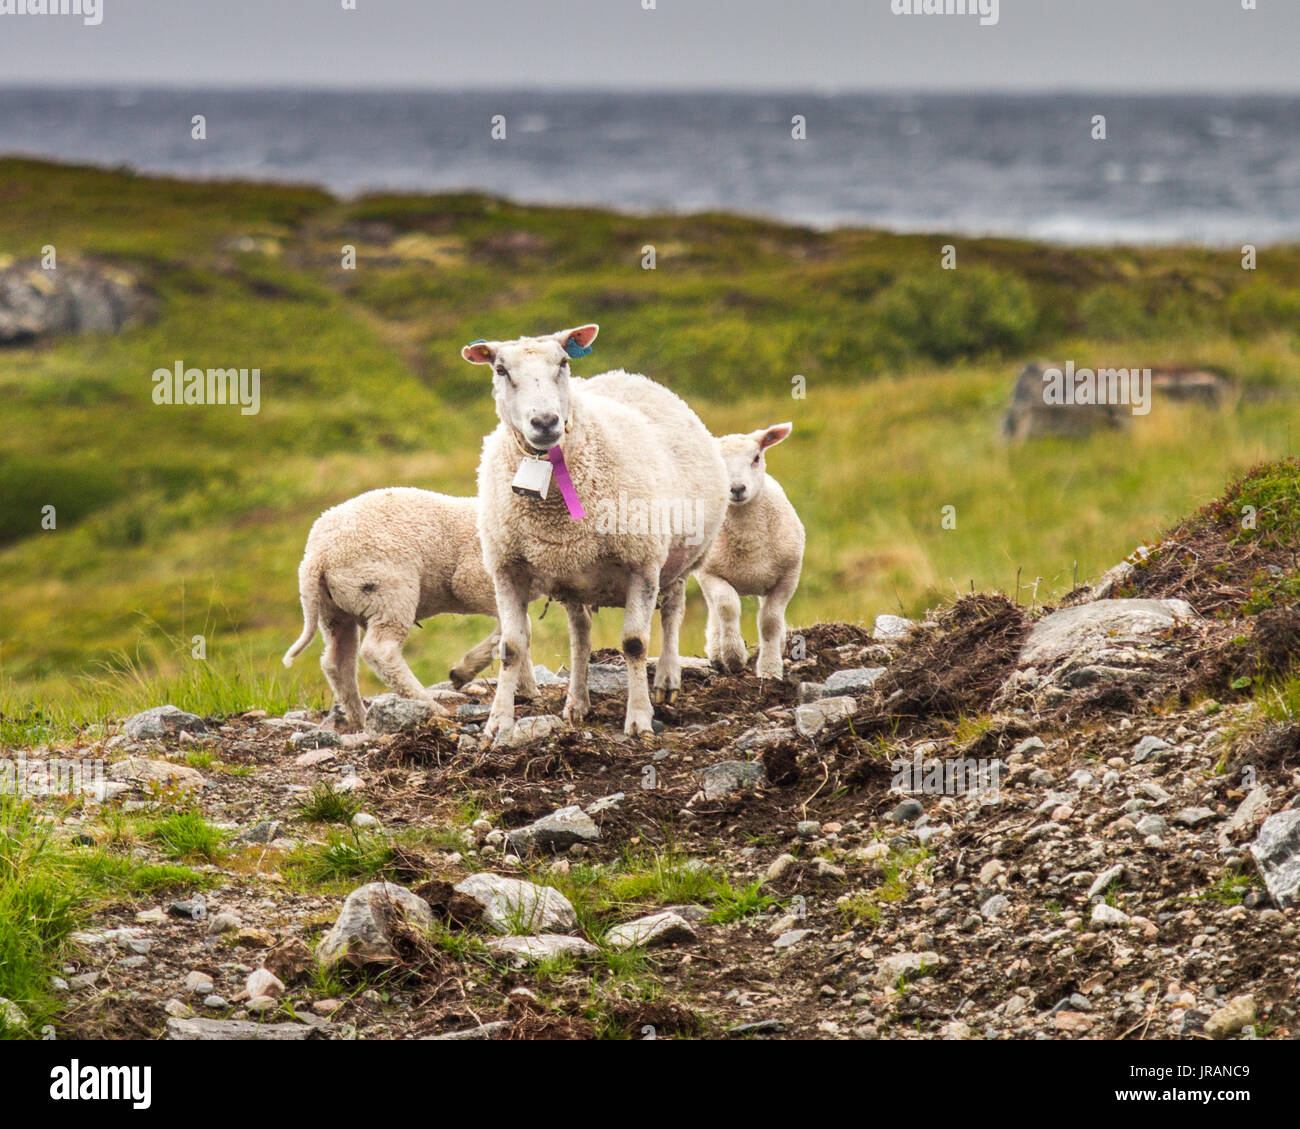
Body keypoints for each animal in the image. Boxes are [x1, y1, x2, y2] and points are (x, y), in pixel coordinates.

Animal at [282, 483, 535, 733]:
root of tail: (316, 558)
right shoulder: (475, 583)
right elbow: (519, 629)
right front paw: (467, 670)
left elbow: (518, 632)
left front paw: (527, 688)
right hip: (389, 593)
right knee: (379, 651)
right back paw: (429, 705)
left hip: (334, 609)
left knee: (337, 661)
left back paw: (359, 718)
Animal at [467, 323, 733, 738]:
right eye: (500, 370)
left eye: (563, 362)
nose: (545, 422)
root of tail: (626, 375)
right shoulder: (506, 567)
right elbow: (512, 647)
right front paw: (497, 722)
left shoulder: (643, 563)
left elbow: (636, 643)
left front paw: (639, 718)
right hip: (574, 576)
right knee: (580, 637)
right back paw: (577, 702)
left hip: (677, 558)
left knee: (673, 610)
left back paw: (667, 680)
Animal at [696, 424, 806, 681]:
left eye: (756, 458)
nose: (736, 489)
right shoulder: (711, 574)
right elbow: (727, 608)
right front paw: (733, 657)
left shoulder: (787, 577)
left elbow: (770, 621)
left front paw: (770, 669)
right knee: (714, 610)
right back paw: (717, 653)